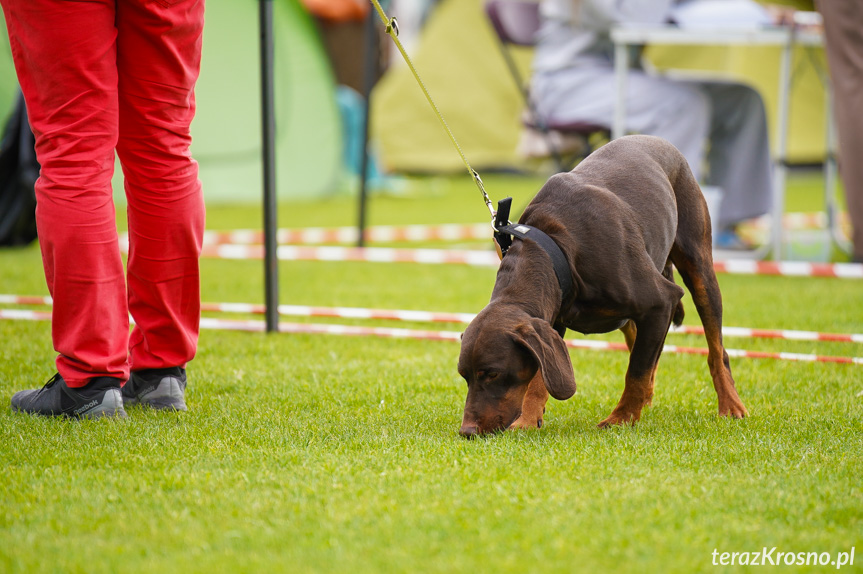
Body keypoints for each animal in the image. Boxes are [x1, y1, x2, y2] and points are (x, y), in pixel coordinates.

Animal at [460, 135, 748, 438]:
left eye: (492, 373)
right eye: (464, 376)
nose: (467, 431)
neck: (556, 246)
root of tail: (658, 140)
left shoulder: (662, 302)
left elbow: (636, 371)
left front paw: (622, 418)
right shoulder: (551, 320)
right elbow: (542, 372)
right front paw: (528, 418)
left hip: (699, 269)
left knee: (715, 348)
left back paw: (730, 404)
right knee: (638, 337)